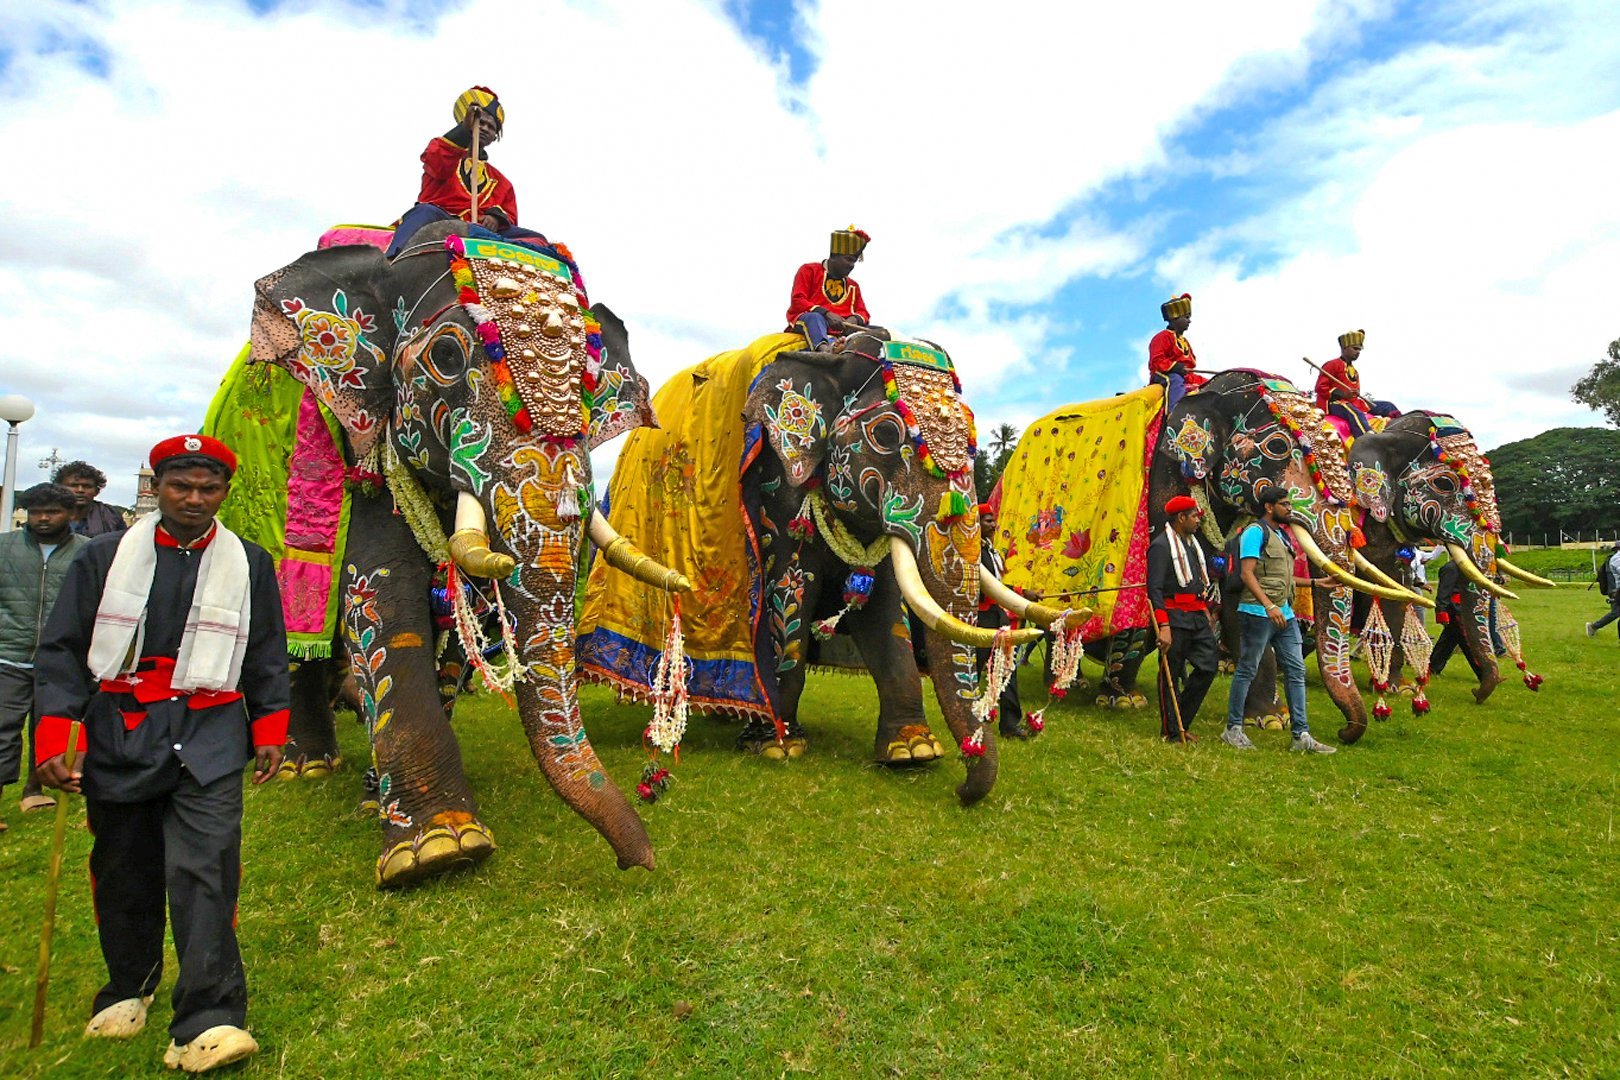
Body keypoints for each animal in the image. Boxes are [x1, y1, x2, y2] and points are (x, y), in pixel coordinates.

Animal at [243, 221, 686, 887]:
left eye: (590, 382)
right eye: (447, 358)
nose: (639, 862)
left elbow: (457, 618)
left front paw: (410, 821)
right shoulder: (368, 438)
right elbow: (378, 594)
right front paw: (438, 852)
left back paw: (366, 791)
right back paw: (304, 768)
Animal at [583, 333, 1049, 806]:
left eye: (973, 444)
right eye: (885, 434)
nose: (962, 788)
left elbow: (885, 617)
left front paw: (913, 750)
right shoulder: (778, 490)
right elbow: (789, 601)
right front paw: (778, 745)